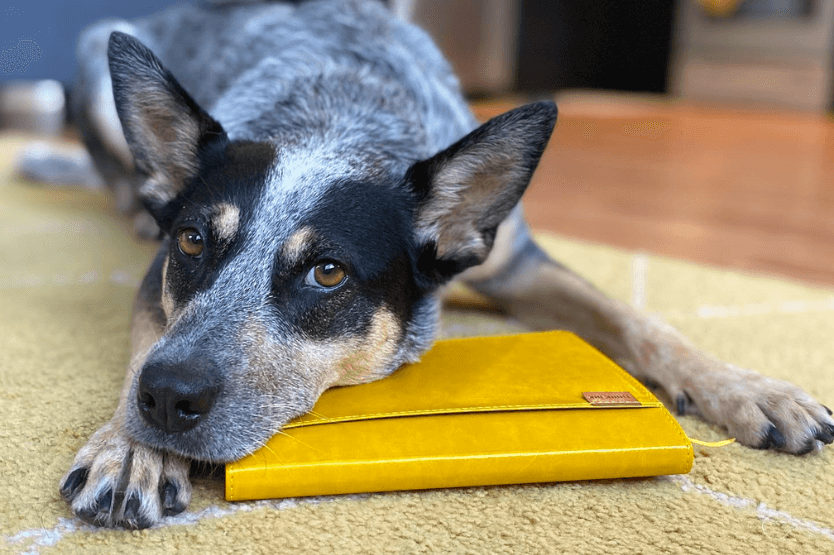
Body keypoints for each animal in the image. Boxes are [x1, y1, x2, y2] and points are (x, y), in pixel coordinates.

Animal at [42, 0, 828, 528]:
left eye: (327, 273)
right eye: (193, 243)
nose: (167, 398)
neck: (340, 113)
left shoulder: (516, 263)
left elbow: (639, 322)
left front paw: (749, 388)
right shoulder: (156, 279)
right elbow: (149, 337)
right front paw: (130, 447)